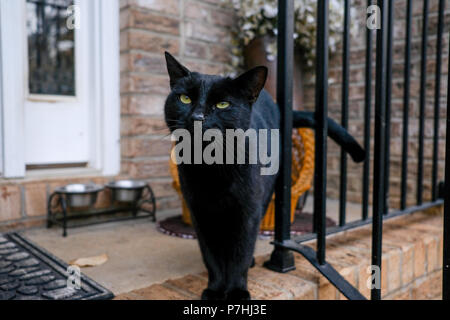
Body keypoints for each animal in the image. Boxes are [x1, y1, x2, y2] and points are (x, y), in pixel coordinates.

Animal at [163, 52, 364, 300]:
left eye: (222, 104)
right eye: (185, 99)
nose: (197, 116)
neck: (212, 168)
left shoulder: (248, 210)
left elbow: (240, 254)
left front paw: (237, 291)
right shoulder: (200, 212)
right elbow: (211, 256)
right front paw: (216, 289)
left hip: (266, 192)